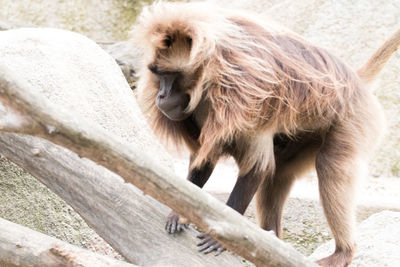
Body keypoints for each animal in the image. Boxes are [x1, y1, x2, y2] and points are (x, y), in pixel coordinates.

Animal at [133, 2, 400, 267]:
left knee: (329, 166)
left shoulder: (244, 94)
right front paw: (178, 211)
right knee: (278, 173)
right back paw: (272, 241)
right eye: (158, 74)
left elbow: (255, 168)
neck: (209, 79)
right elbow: (204, 161)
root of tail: (356, 81)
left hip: (354, 120)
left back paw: (342, 253)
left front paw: (221, 237)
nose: (161, 96)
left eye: (169, 76)